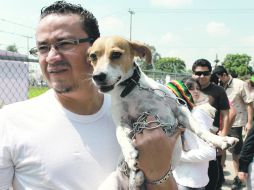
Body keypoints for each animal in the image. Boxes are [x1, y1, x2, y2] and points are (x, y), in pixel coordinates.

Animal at [88, 35, 238, 189]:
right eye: (93, 56)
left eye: (116, 54)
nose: (97, 76)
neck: (130, 91)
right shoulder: (122, 122)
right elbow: (120, 136)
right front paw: (129, 154)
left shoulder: (180, 109)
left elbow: (200, 129)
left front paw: (220, 140)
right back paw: (136, 175)